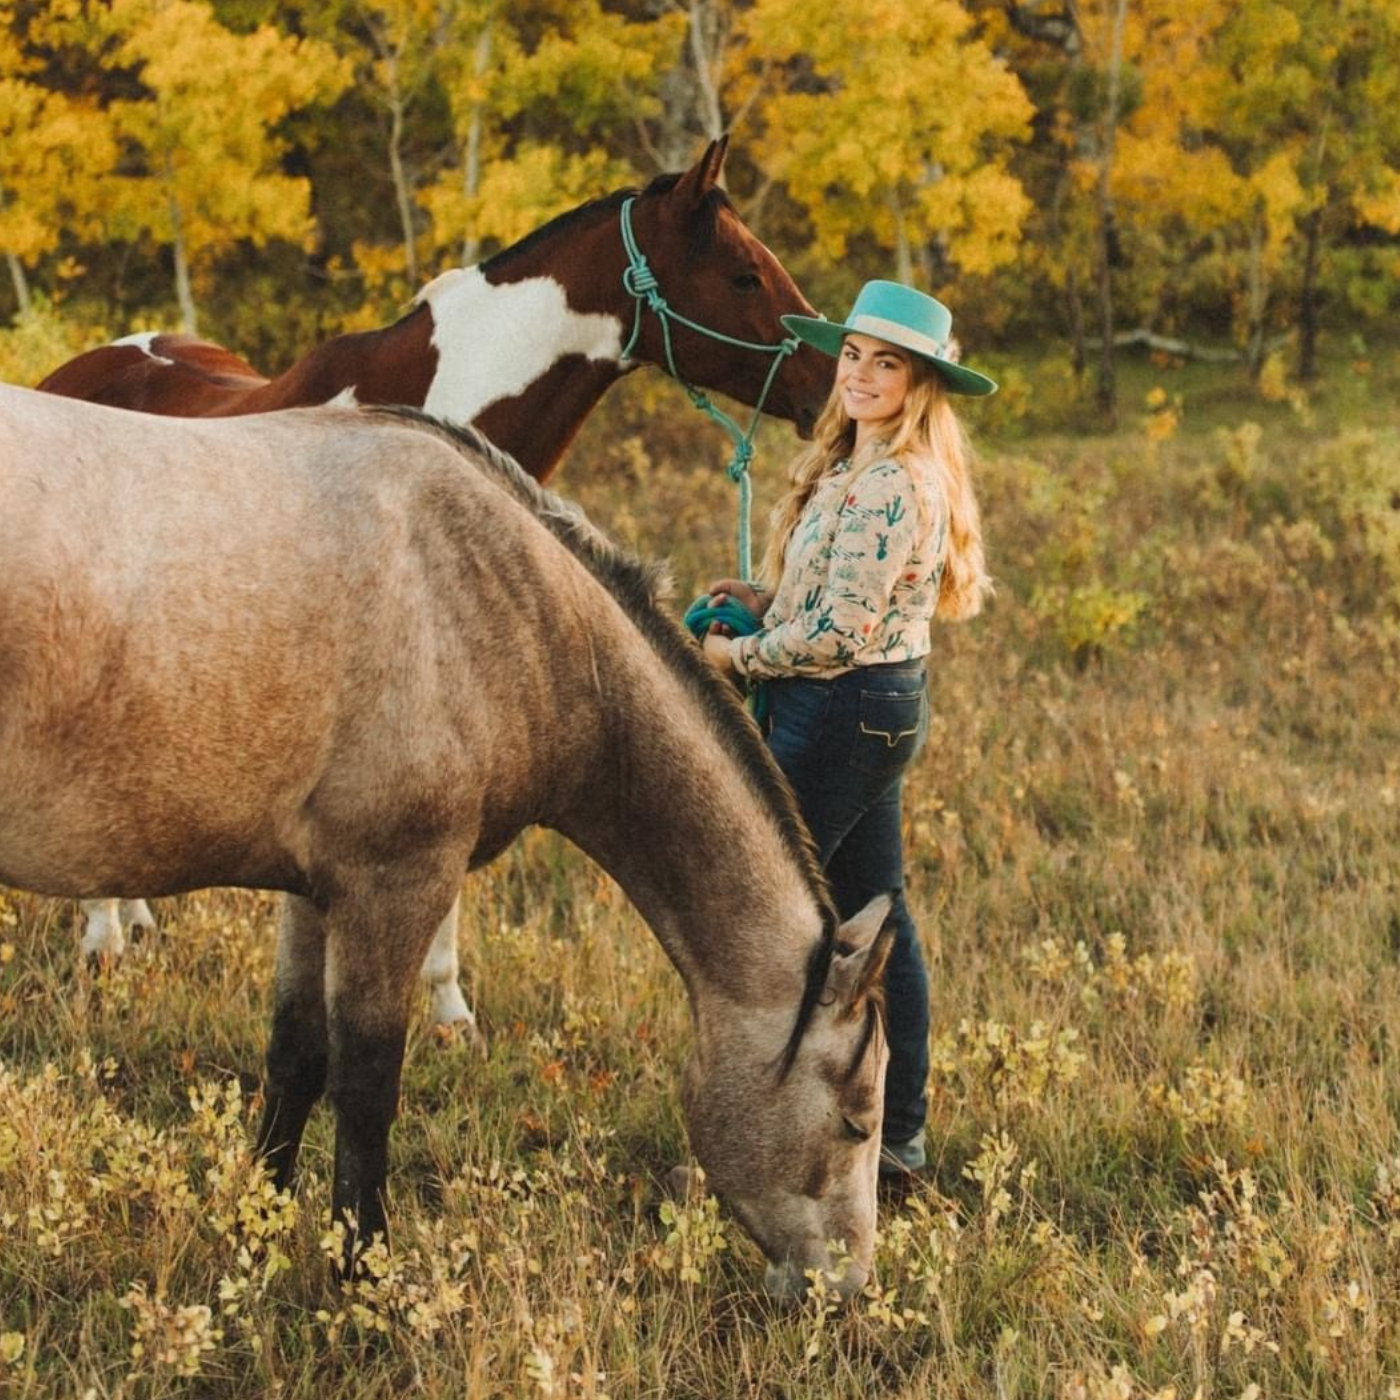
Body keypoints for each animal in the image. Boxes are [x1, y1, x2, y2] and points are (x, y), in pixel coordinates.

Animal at [0, 383, 891, 1297]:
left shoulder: (316, 890)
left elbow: (295, 1056)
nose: (850, 1288)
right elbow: (367, 1085)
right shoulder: (398, 884)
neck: (498, 600)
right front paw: (362, 1274)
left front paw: (260, 1223)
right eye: (857, 1123)